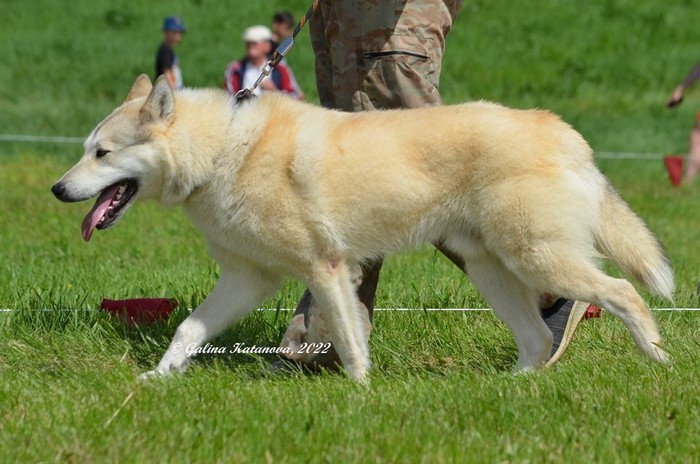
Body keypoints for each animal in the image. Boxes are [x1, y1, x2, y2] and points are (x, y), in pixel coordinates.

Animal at [52, 75, 673, 381]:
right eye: (85, 150)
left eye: (103, 153)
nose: (58, 190)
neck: (225, 151)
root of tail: (564, 132)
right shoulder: (249, 280)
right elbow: (187, 330)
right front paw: (158, 378)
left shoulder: (326, 270)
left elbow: (350, 342)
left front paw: (360, 397)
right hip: (490, 269)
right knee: (538, 338)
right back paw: (513, 385)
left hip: (534, 257)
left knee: (621, 292)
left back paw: (657, 358)